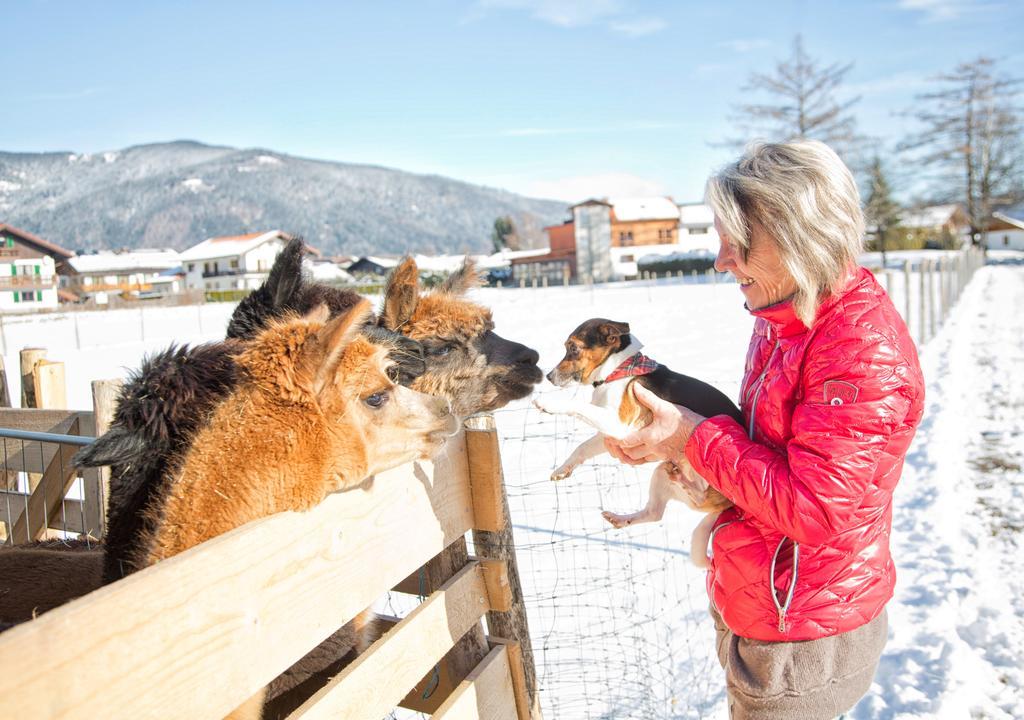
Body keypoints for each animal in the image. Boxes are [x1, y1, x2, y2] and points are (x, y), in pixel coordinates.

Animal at [536, 317, 745, 565]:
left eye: (574, 348)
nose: (549, 376)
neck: (616, 372)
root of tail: (728, 506)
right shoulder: (610, 433)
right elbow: (582, 447)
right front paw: (563, 469)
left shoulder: (617, 424)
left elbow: (577, 406)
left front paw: (549, 403)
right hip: (660, 475)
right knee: (654, 513)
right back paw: (620, 517)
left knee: (696, 494)